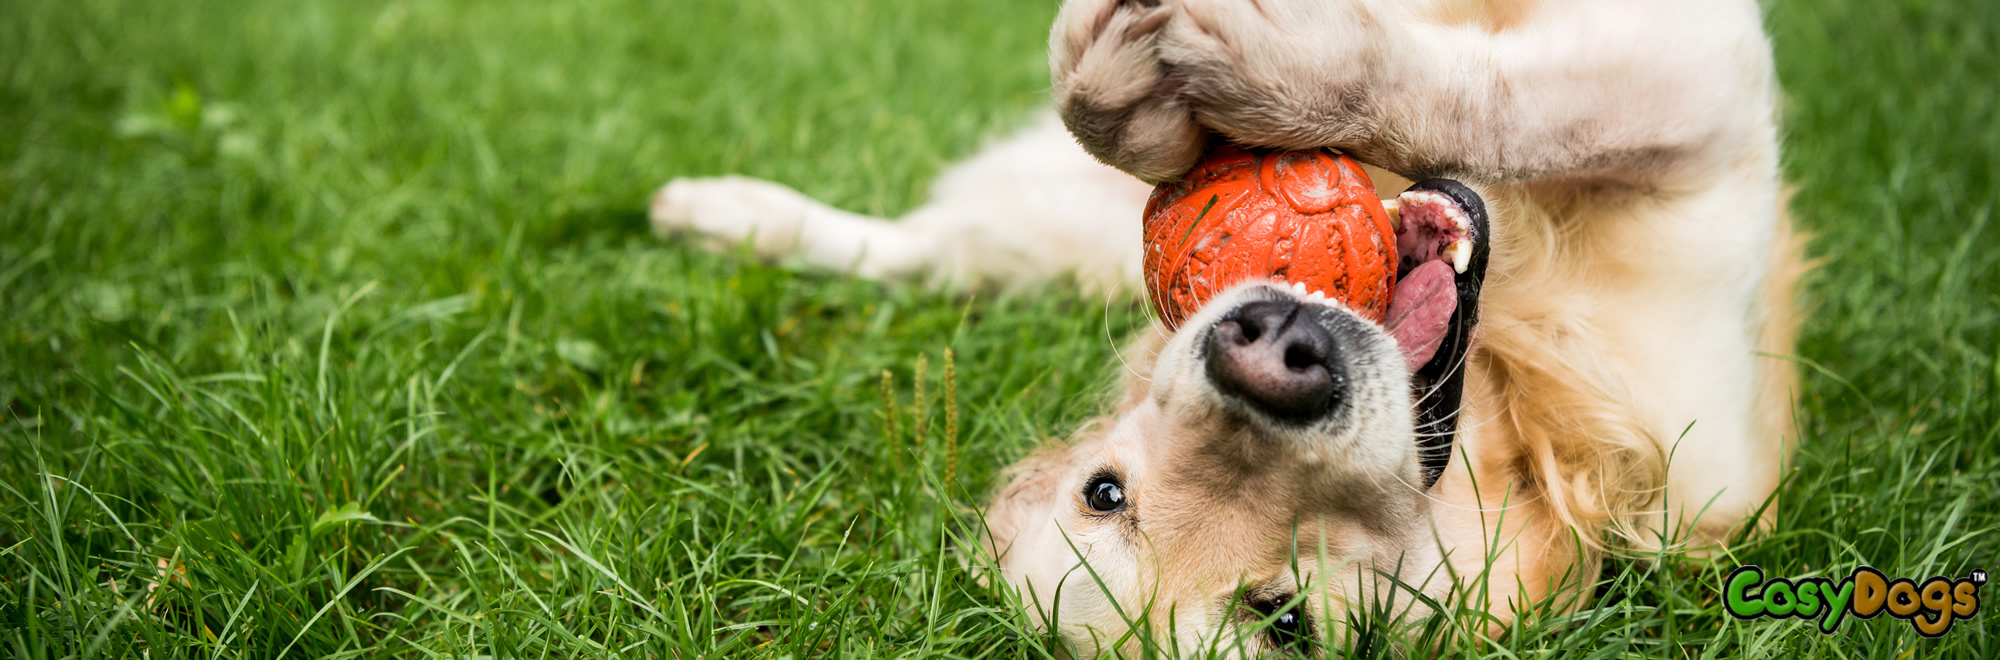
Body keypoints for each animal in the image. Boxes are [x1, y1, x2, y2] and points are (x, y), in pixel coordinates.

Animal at [648, 0, 1808, 648]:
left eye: (1102, 490)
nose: (1273, 358)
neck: (1512, 398)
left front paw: (1241, 75)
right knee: (925, 246)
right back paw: (727, 215)